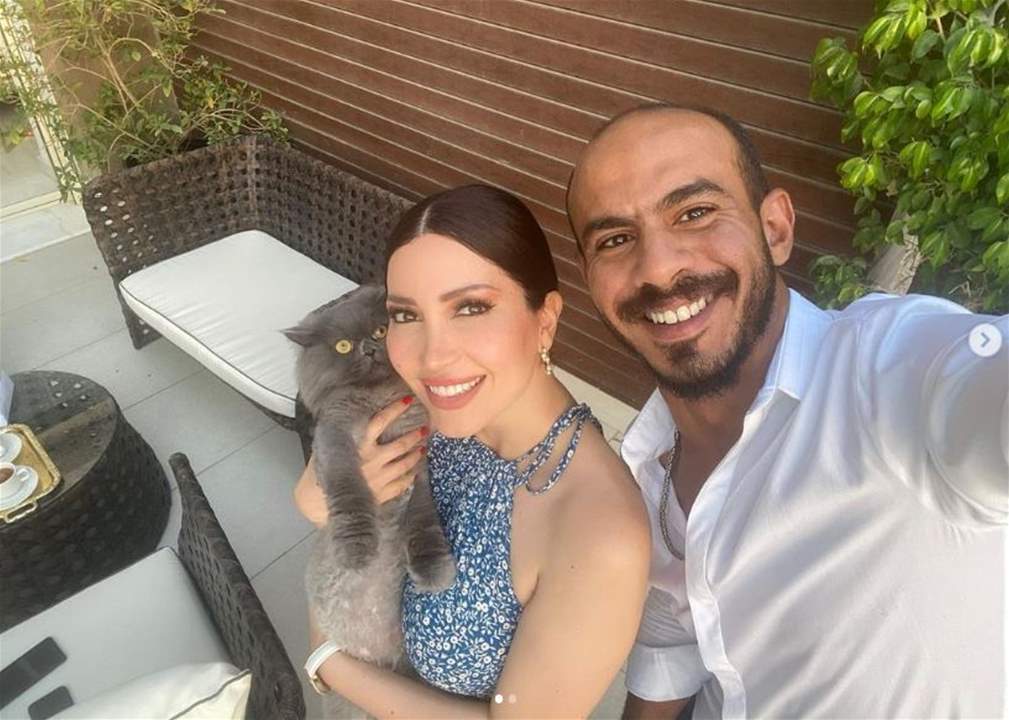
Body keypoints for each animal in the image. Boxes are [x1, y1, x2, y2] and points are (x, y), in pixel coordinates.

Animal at [285, 284, 456, 718]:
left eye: (381, 330)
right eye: (343, 346)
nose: (369, 348)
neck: (381, 401)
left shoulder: (418, 461)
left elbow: (423, 519)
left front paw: (434, 570)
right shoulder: (335, 441)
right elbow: (350, 492)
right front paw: (358, 549)